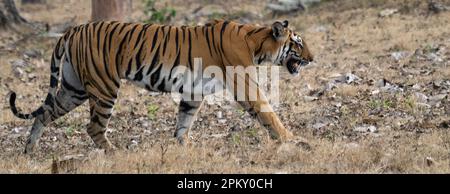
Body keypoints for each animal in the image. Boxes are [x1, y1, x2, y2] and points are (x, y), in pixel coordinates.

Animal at [7, 19, 312, 153]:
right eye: (297, 43)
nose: (312, 58)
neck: (256, 43)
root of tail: (73, 29)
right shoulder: (246, 85)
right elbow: (269, 115)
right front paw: (292, 140)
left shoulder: (194, 92)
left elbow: (184, 121)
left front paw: (183, 146)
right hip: (104, 87)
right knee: (93, 126)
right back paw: (115, 153)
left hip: (74, 88)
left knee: (45, 114)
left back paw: (29, 151)